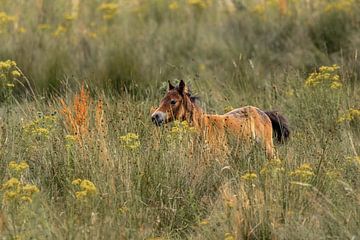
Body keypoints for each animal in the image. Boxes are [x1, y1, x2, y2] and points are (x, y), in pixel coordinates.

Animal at [151, 80, 290, 158]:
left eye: (173, 101)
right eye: (162, 100)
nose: (155, 117)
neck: (203, 127)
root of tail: (263, 113)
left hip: (268, 148)